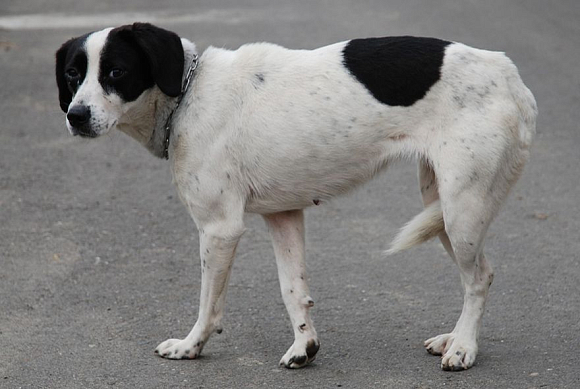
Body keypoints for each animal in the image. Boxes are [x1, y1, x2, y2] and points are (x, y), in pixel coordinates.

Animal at [56, 22, 536, 370]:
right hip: (440, 209)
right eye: (73, 75)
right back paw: (452, 338)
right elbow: (293, 290)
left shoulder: (219, 229)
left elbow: (209, 304)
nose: (75, 116)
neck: (189, 93)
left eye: (116, 71)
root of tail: (509, 75)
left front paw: (191, 346)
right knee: (476, 275)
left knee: (479, 278)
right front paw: (304, 347)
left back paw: (464, 348)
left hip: (461, 211)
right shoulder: (283, 215)